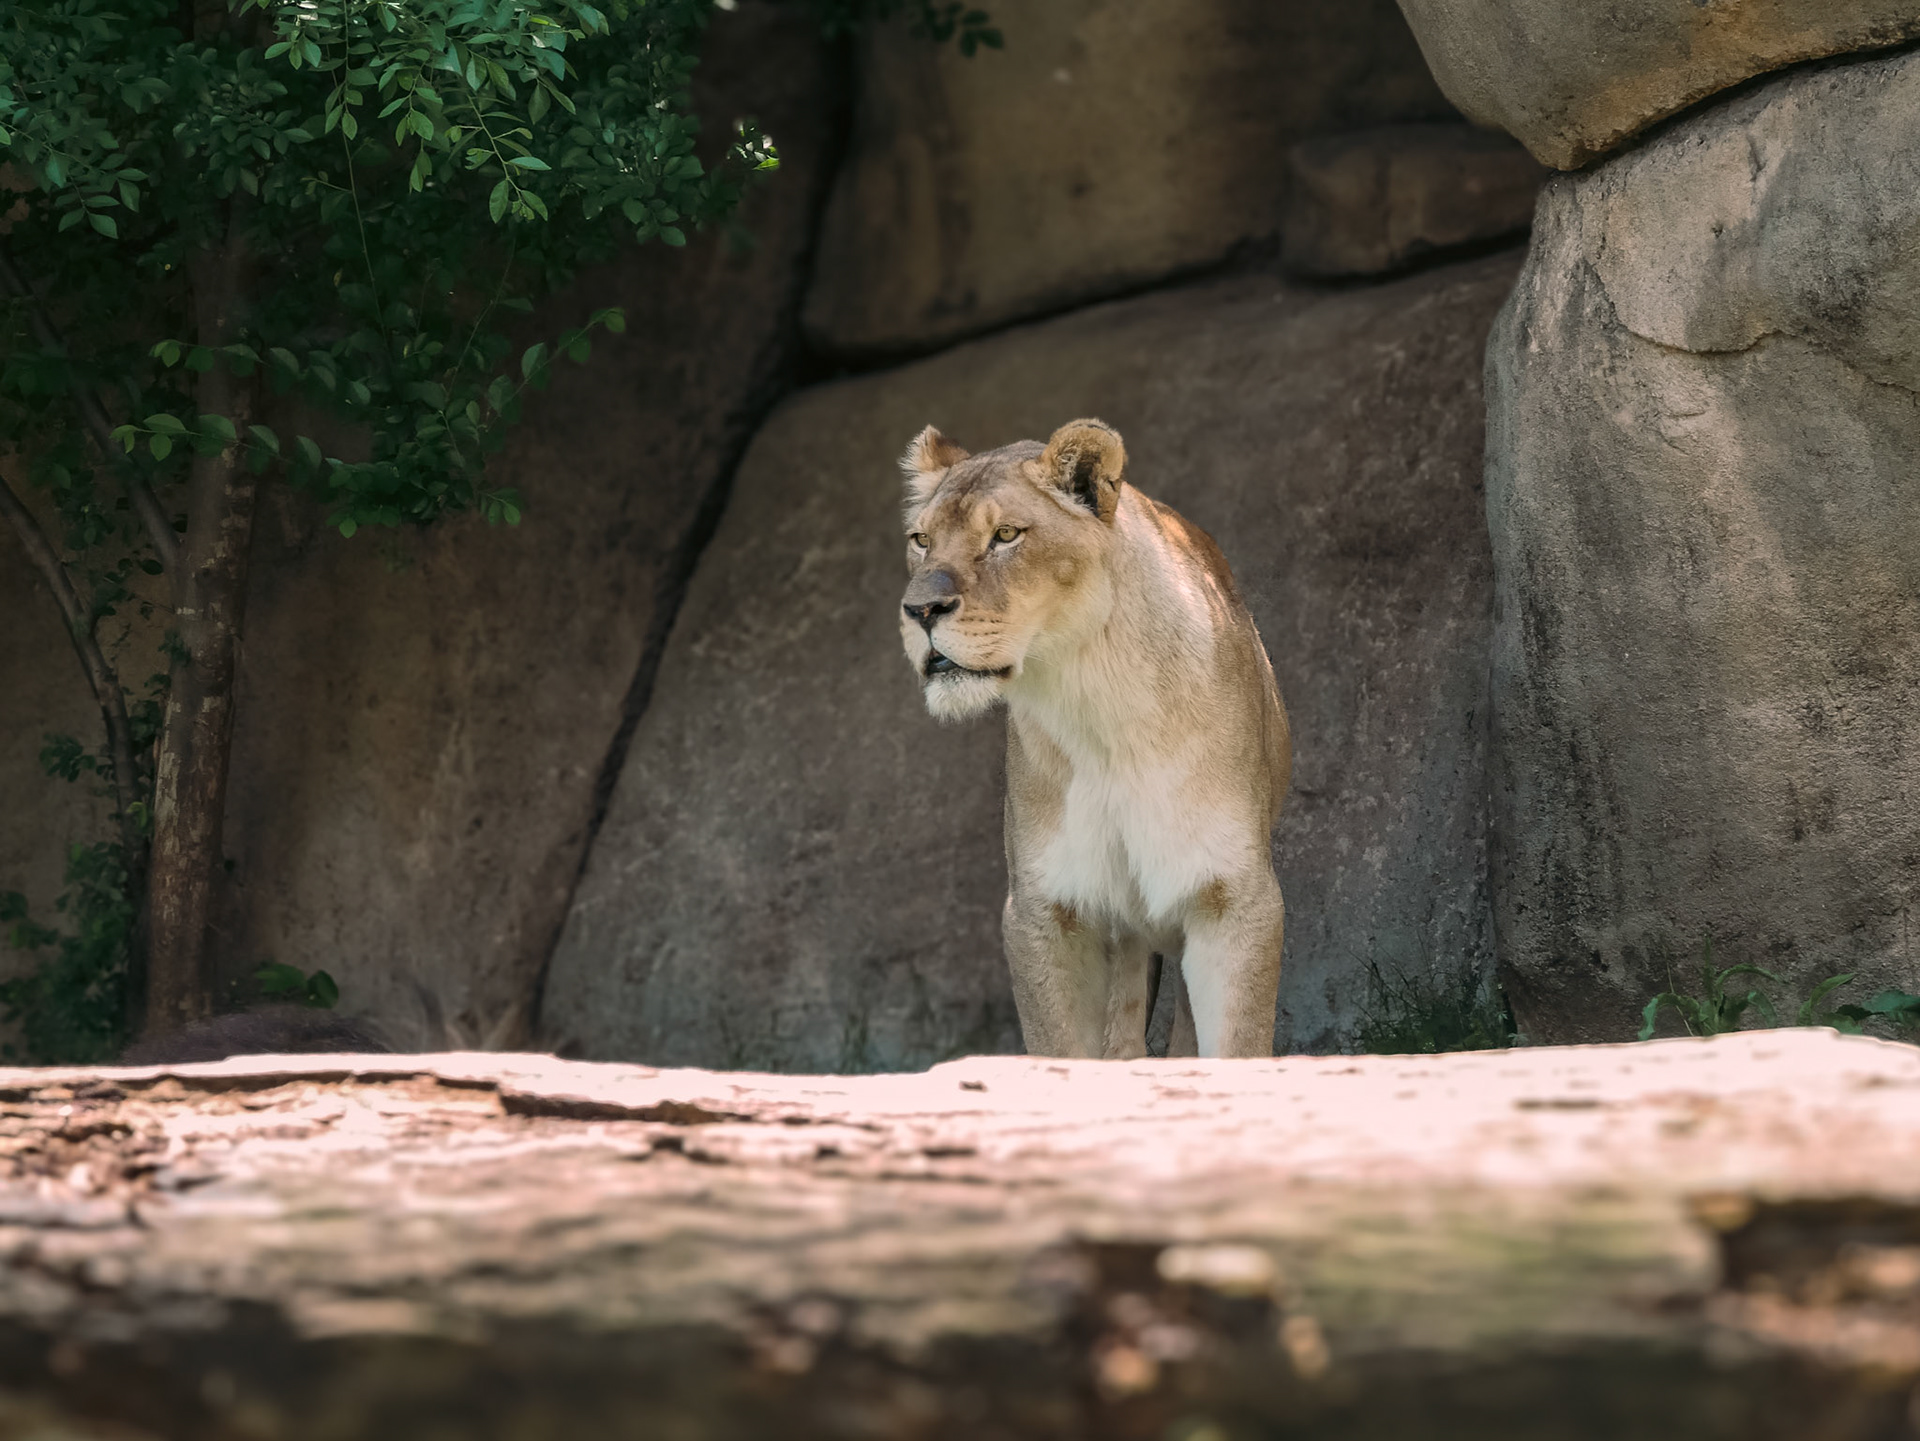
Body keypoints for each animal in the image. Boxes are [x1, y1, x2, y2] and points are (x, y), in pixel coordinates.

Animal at [897, 418, 1291, 1058]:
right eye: (921, 540)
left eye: (1005, 535)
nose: (920, 609)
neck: (1097, 703)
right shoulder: (1044, 911)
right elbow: (1063, 1052)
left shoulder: (1232, 895)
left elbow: (1235, 1047)